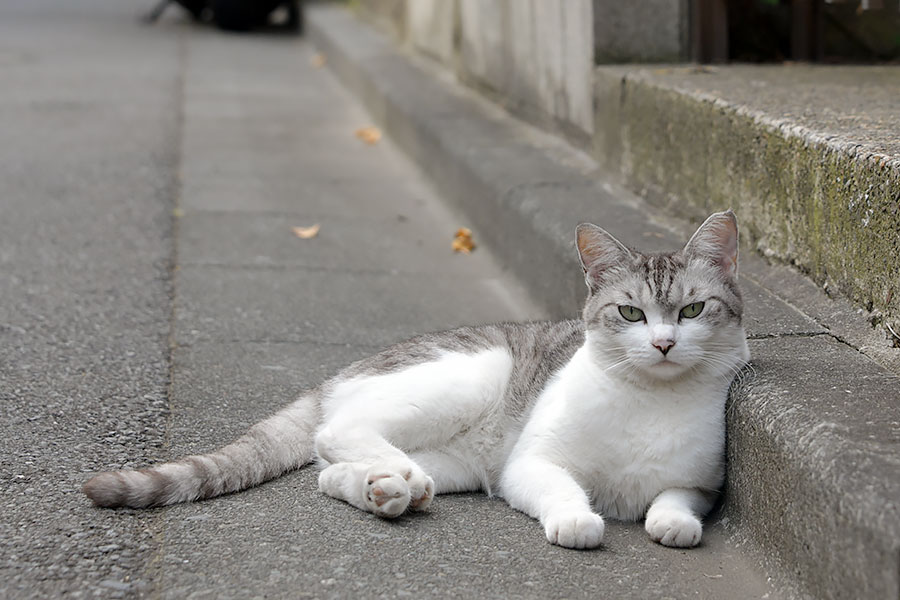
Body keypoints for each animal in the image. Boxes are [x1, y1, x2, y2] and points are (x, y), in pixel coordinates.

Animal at [84, 210, 748, 548]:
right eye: (631, 314)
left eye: (692, 310)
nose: (663, 344)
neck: (649, 403)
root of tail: (341, 372)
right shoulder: (532, 464)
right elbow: (564, 492)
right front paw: (579, 520)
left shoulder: (700, 484)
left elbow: (673, 501)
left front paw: (672, 525)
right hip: (474, 375)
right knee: (338, 433)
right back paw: (394, 475)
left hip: (459, 463)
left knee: (328, 472)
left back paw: (384, 488)